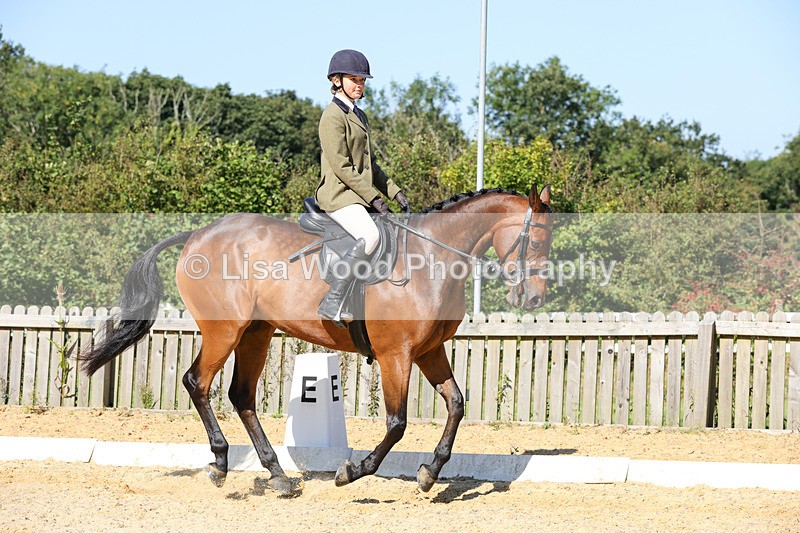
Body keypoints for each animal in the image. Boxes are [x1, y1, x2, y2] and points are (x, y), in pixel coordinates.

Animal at [81, 184, 553, 496]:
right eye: (539, 239)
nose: (534, 298)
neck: (431, 259)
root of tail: (199, 234)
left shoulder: (428, 351)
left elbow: (456, 404)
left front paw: (430, 473)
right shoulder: (396, 354)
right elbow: (397, 424)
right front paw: (353, 471)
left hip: (256, 332)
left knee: (241, 395)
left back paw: (278, 475)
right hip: (225, 330)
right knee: (198, 383)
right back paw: (220, 463)